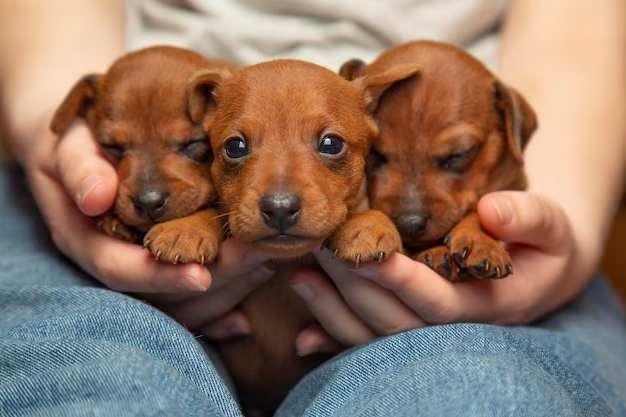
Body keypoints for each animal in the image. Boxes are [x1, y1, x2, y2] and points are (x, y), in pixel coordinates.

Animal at [338, 39, 540, 280]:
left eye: (458, 154)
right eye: (375, 153)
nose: (409, 224)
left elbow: (478, 211)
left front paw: (481, 242)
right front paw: (368, 226)